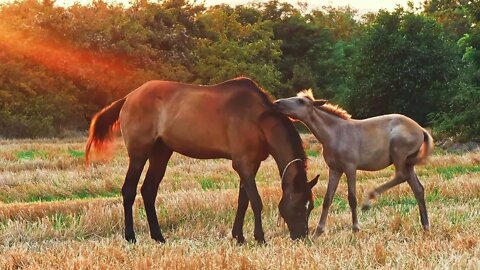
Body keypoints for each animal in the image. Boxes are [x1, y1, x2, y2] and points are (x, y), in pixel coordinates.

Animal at [86, 77, 318, 243]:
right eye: (299, 206)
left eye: (311, 207)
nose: (301, 238)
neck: (258, 119)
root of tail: (128, 97)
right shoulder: (243, 163)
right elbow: (256, 201)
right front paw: (260, 238)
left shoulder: (251, 164)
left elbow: (243, 201)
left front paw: (239, 236)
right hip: (139, 153)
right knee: (129, 190)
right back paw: (131, 237)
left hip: (161, 153)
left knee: (148, 191)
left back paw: (158, 237)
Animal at [274, 89, 436, 237]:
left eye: (301, 101)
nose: (277, 103)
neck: (335, 133)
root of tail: (421, 130)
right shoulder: (335, 169)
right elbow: (327, 199)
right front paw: (318, 233)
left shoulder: (350, 168)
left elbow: (352, 198)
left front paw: (356, 229)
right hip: (409, 163)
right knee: (418, 189)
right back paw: (426, 227)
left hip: (399, 155)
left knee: (401, 175)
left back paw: (368, 201)